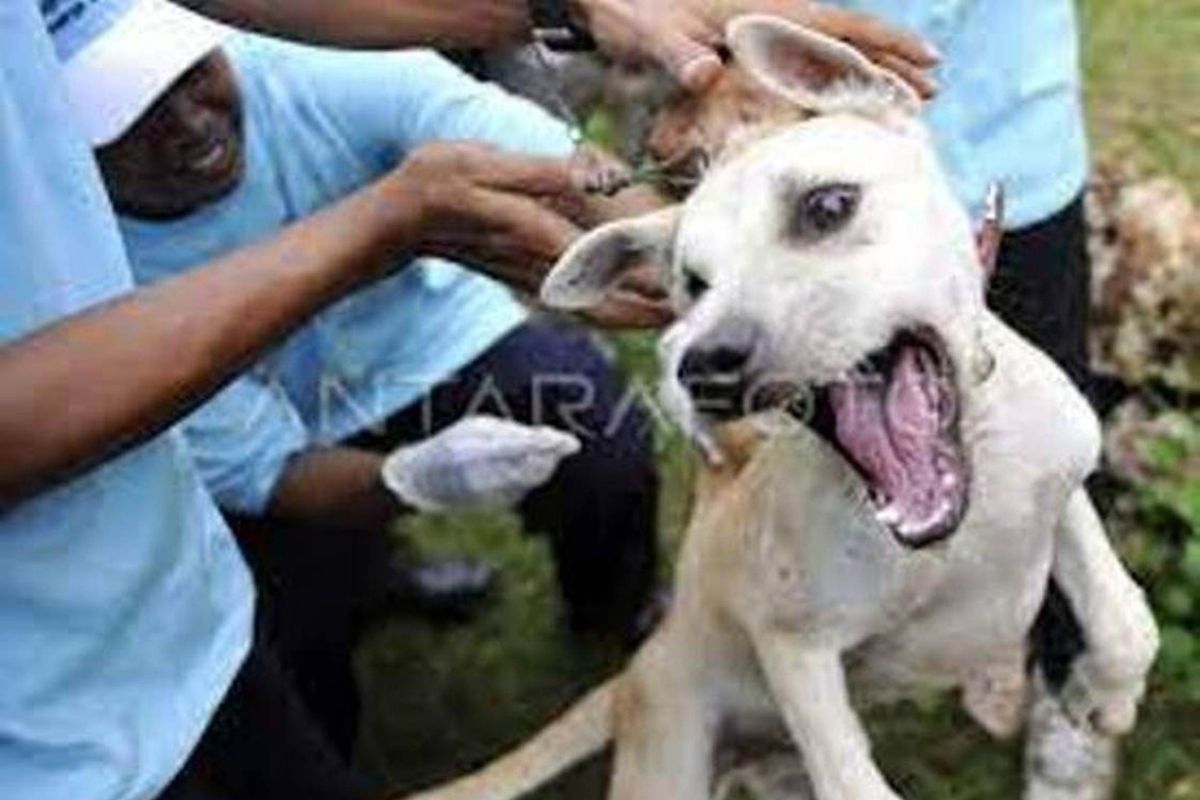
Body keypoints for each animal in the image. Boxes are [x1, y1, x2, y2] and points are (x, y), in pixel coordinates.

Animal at [398, 17, 1156, 800]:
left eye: (827, 206)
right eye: (691, 284)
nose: (701, 364)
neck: (969, 501)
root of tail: (636, 672)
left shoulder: (1063, 487)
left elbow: (1125, 615)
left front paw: (1105, 695)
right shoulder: (793, 643)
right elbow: (853, 781)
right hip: (670, 758)